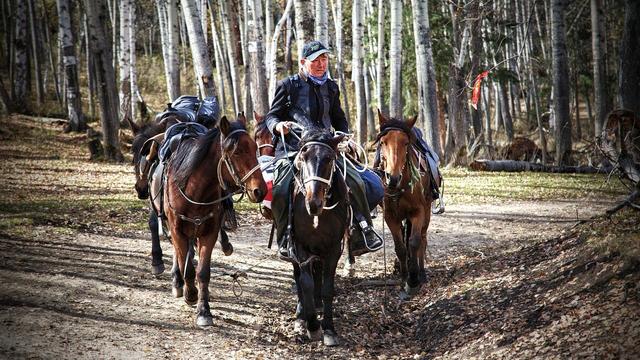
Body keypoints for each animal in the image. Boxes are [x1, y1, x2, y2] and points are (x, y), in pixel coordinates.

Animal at [165, 114, 268, 326]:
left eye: (254, 147)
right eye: (237, 152)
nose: (259, 190)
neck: (194, 191)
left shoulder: (208, 233)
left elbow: (203, 272)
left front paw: (204, 310)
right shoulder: (177, 231)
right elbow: (186, 266)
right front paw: (190, 294)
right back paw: (179, 282)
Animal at [376, 111, 436, 300]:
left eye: (406, 142)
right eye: (382, 142)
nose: (392, 178)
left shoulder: (418, 212)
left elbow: (414, 242)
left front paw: (414, 280)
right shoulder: (390, 217)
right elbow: (401, 247)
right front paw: (404, 279)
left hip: (427, 211)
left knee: (422, 238)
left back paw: (421, 273)